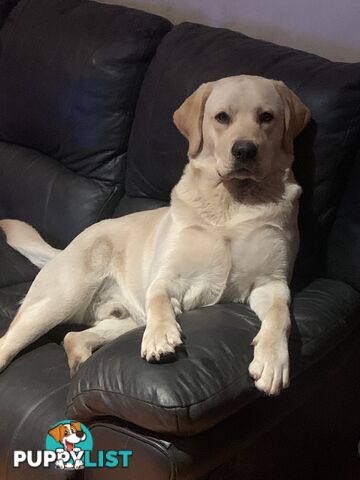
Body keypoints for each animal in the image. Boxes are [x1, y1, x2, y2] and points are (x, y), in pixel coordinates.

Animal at [0, 75, 310, 396]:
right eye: (222, 117)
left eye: (267, 117)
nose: (245, 150)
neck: (232, 200)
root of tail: (66, 248)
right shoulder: (167, 277)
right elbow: (159, 300)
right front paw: (160, 337)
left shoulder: (271, 283)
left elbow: (280, 316)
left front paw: (273, 361)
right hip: (59, 299)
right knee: (8, 342)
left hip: (124, 320)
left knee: (72, 335)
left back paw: (80, 364)